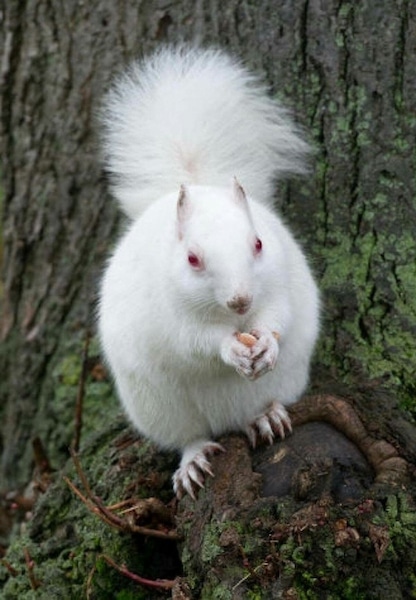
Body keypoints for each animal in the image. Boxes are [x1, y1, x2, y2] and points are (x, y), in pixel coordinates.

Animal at [97, 45, 318, 496]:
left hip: (280, 383)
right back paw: (194, 461)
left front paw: (265, 341)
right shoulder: (171, 317)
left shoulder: (278, 285)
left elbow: (278, 315)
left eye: (258, 243)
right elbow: (194, 342)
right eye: (192, 259)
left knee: (257, 408)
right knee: (190, 436)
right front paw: (229, 348)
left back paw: (266, 416)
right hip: (162, 410)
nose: (241, 301)